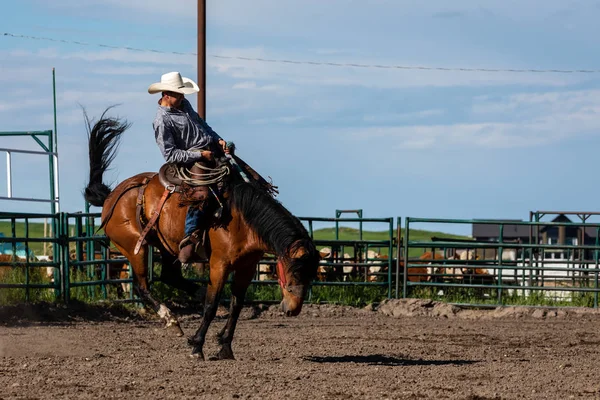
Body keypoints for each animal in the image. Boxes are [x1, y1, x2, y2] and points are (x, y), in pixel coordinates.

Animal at [83, 111, 324, 360]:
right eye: (293, 271)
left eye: (312, 274)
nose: (293, 310)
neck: (243, 218)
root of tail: (112, 196)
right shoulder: (219, 263)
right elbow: (211, 305)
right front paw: (197, 346)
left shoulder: (247, 266)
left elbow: (236, 305)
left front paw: (225, 346)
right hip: (133, 246)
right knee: (143, 286)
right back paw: (171, 320)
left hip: (168, 247)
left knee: (170, 277)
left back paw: (195, 294)